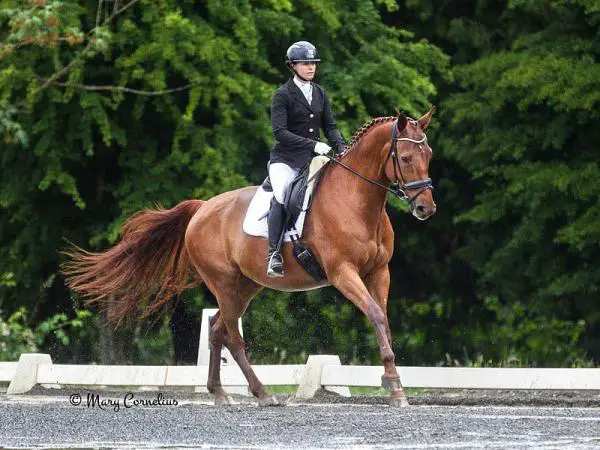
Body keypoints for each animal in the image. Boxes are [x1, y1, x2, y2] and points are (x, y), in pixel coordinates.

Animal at [62, 108, 436, 408]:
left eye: (429, 154)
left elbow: (383, 319)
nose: (425, 208)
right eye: (405, 158)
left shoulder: (379, 272)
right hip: (225, 283)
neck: (358, 200)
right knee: (231, 336)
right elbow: (374, 314)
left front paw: (395, 386)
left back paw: (220, 393)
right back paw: (263, 394)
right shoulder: (343, 272)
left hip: (246, 285)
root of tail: (202, 208)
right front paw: (393, 384)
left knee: (217, 330)